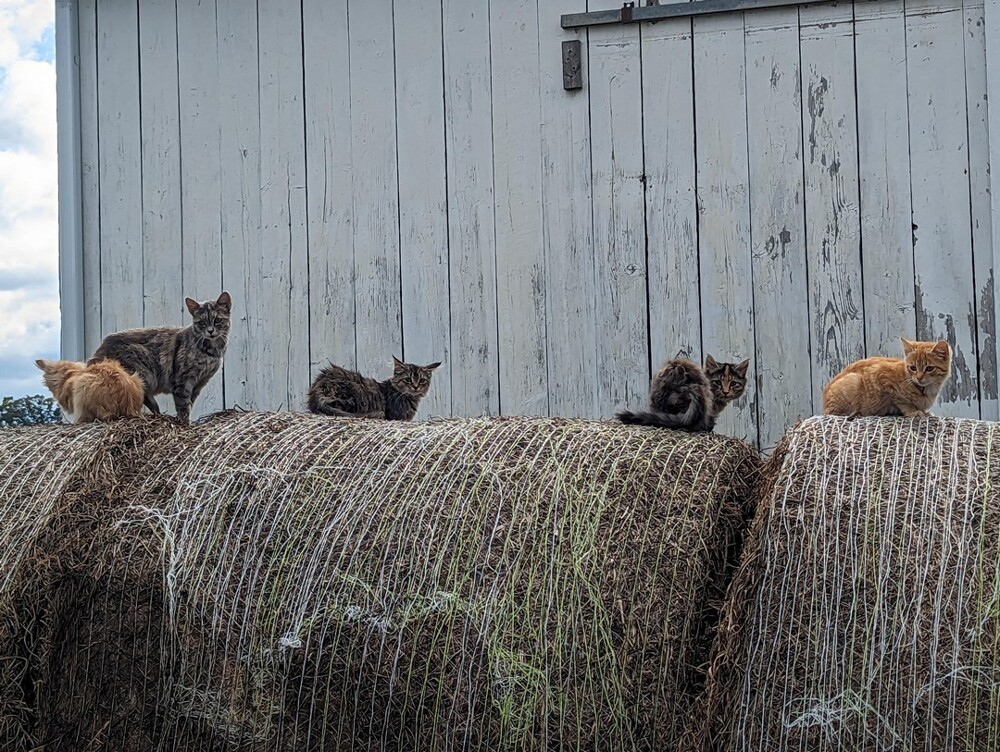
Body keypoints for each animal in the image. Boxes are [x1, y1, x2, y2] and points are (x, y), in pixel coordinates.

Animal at [88, 292, 232, 424]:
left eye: (217, 320)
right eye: (201, 322)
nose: (210, 331)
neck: (211, 351)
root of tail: (101, 348)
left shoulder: (199, 383)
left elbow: (190, 403)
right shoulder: (183, 380)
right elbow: (183, 405)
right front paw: (184, 423)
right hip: (141, 369)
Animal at [820, 336, 952, 418]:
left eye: (929, 368)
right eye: (913, 368)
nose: (919, 378)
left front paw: (925, 412)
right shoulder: (882, 376)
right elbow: (902, 401)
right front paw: (913, 411)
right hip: (853, 381)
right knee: (833, 413)